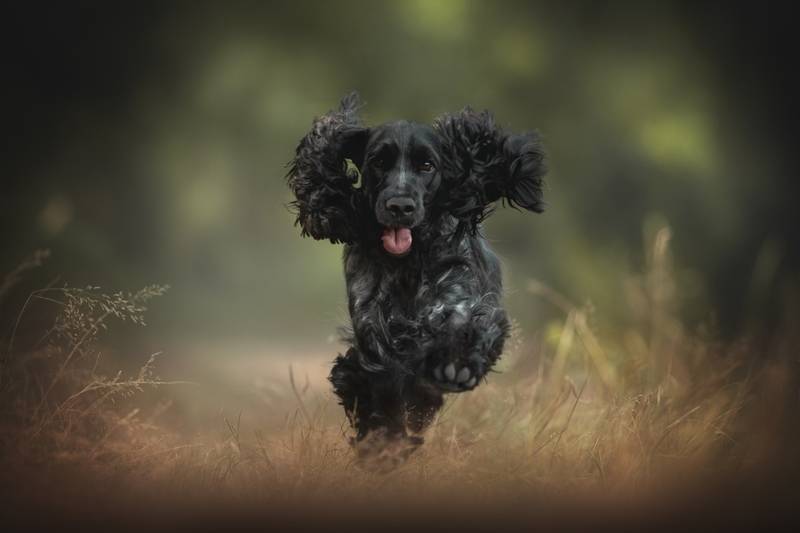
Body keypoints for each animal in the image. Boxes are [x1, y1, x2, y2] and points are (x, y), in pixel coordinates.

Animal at [286, 92, 544, 454]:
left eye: (427, 165)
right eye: (379, 162)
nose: (400, 206)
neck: (407, 262)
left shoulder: (462, 300)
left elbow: (464, 323)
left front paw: (457, 365)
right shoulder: (374, 335)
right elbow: (378, 393)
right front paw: (384, 446)